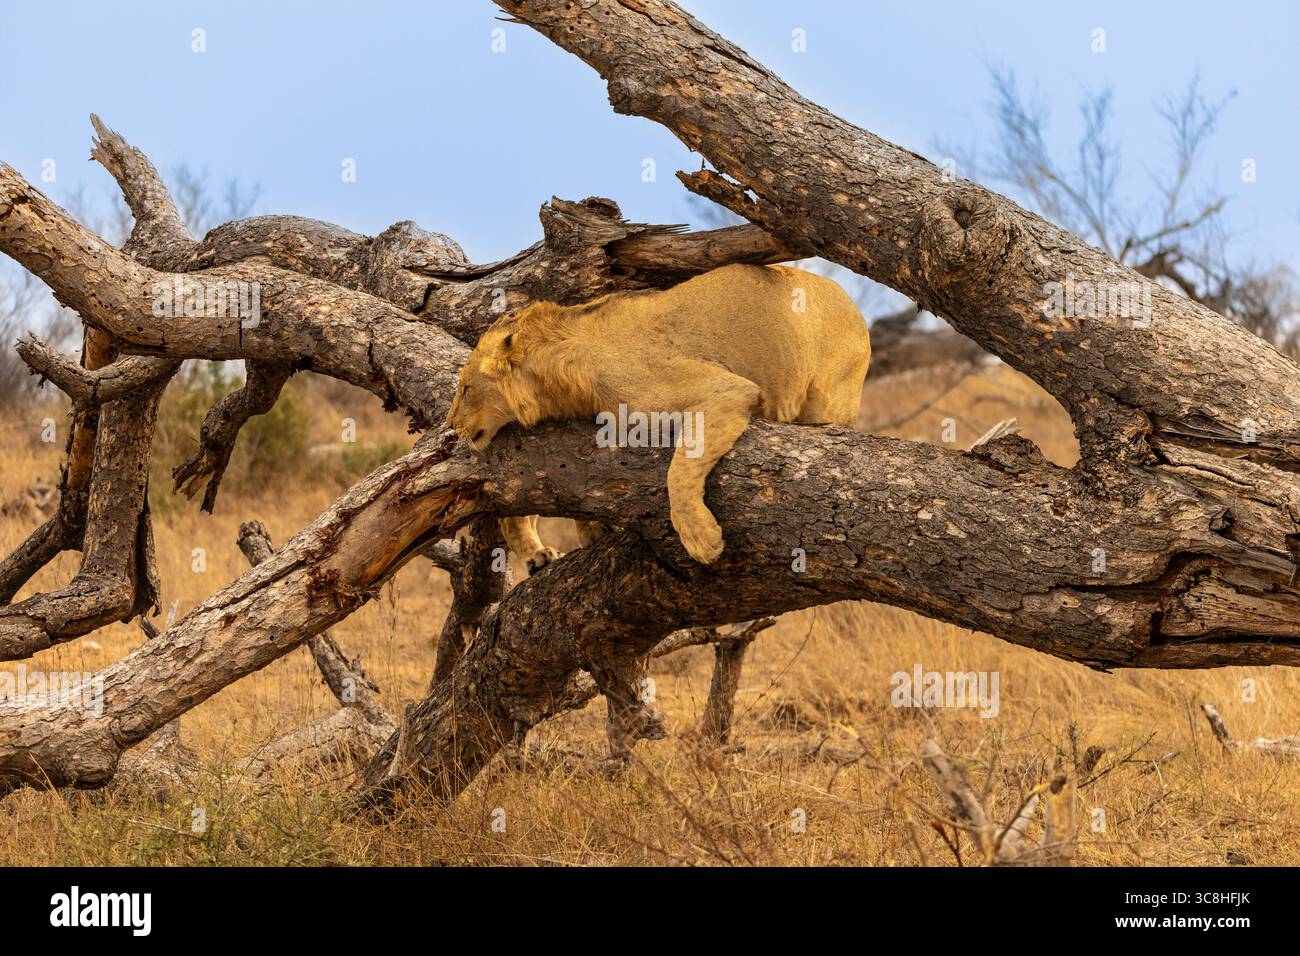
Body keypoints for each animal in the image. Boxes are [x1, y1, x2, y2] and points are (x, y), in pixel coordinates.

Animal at [448, 263, 871, 566]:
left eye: (466, 389)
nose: (452, 427)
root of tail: (853, 304)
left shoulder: (727, 389)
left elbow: (679, 470)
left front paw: (701, 538)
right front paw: (589, 532)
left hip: (830, 396)